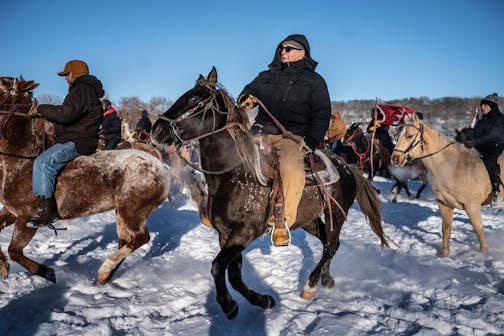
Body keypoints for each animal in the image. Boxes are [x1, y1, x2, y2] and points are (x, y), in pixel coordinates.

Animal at [0, 76, 171, 284]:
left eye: (3, 88)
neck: (22, 161)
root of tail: (161, 167)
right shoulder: (12, 212)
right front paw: (3, 267)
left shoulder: (26, 218)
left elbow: (14, 251)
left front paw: (46, 272)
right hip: (123, 213)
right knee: (126, 241)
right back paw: (106, 276)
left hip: (132, 212)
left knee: (140, 239)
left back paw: (105, 269)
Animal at [150, 67, 390, 318]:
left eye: (195, 100)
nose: (156, 130)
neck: (235, 172)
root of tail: (348, 167)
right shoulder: (226, 234)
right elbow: (234, 274)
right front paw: (262, 300)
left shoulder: (245, 232)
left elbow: (218, 267)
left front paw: (228, 305)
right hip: (309, 220)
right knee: (330, 244)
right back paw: (326, 278)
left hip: (336, 213)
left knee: (331, 245)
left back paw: (310, 285)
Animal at [392, 113, 502, 258]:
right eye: (397, 135)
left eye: (410, 136)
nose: (395, 159)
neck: (452, 167)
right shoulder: (444, 204)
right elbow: (446, 227)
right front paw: (444, 252)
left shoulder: (472, 206)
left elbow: (477, 227)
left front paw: (484, 251)